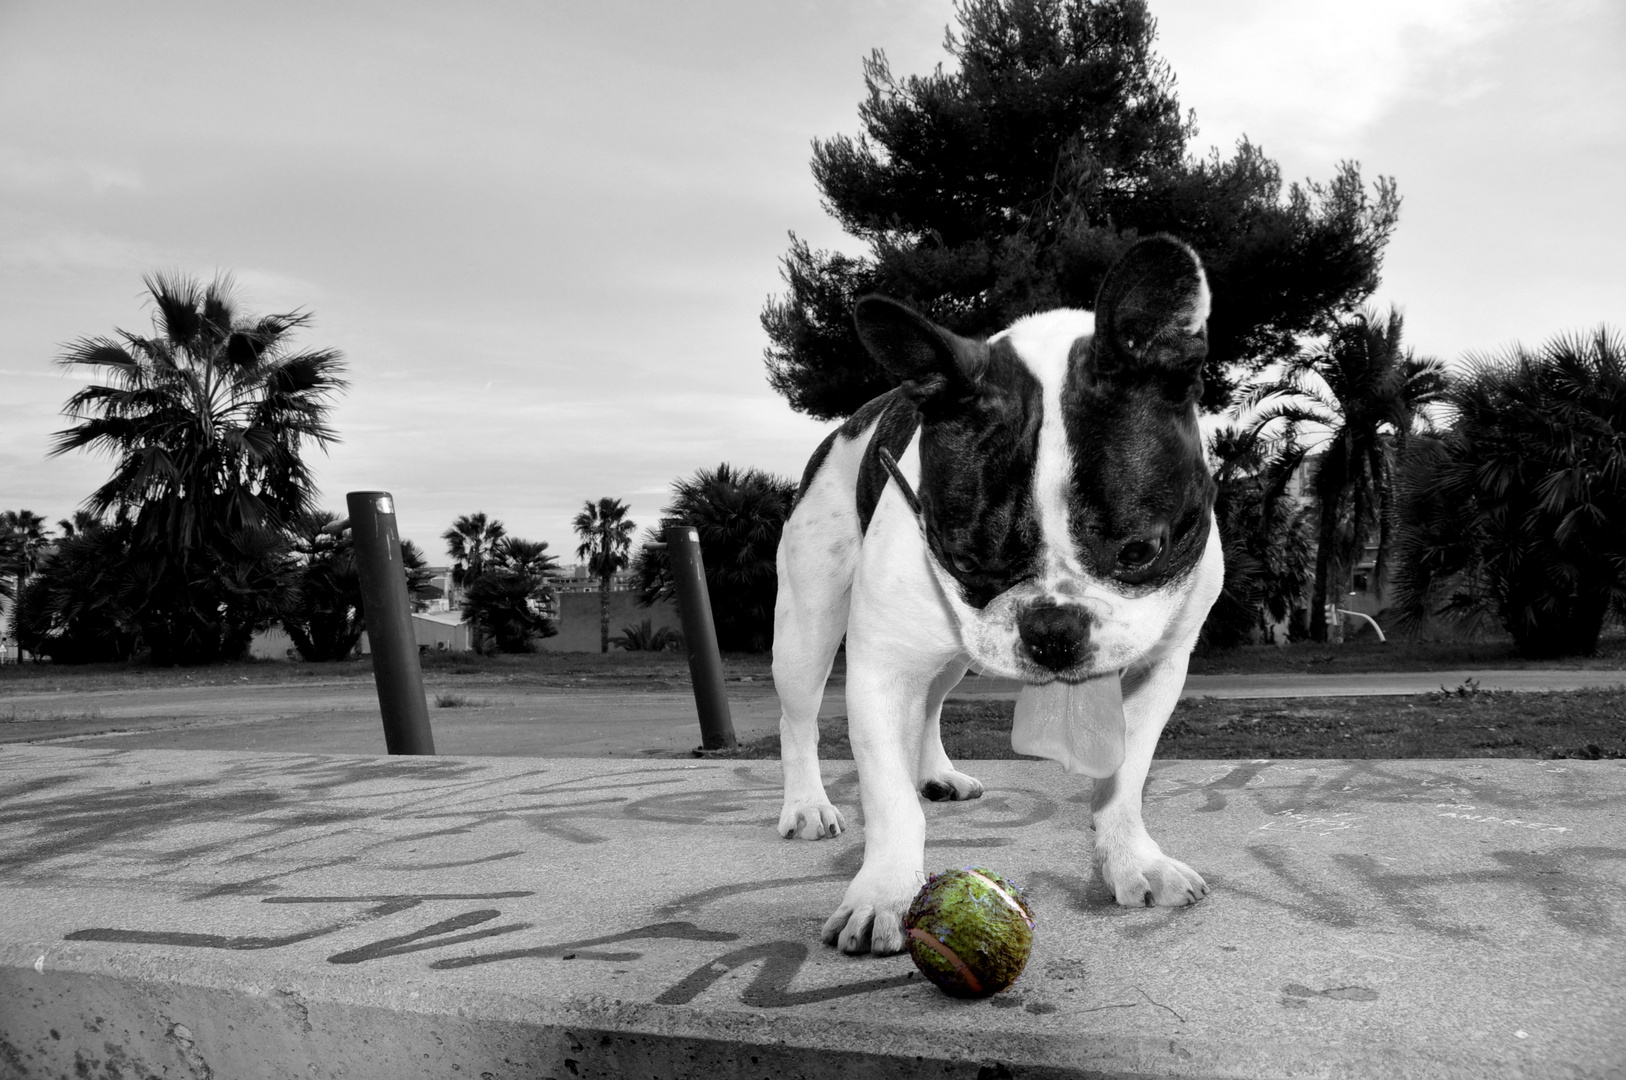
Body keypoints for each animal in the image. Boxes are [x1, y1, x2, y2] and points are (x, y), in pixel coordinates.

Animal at [770, 234, 1222, 956]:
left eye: (1140, 551)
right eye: (962, 558)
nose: (1053, 628)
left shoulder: (1160, 668)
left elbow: (1125, 778)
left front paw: (1130, 859)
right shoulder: (880, 669)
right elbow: (889, 801)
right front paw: (884, 893)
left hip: (954, 656)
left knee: (931, 703)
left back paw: (935, 772)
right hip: (808, 626)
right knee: (799, 717)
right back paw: (807, 804)